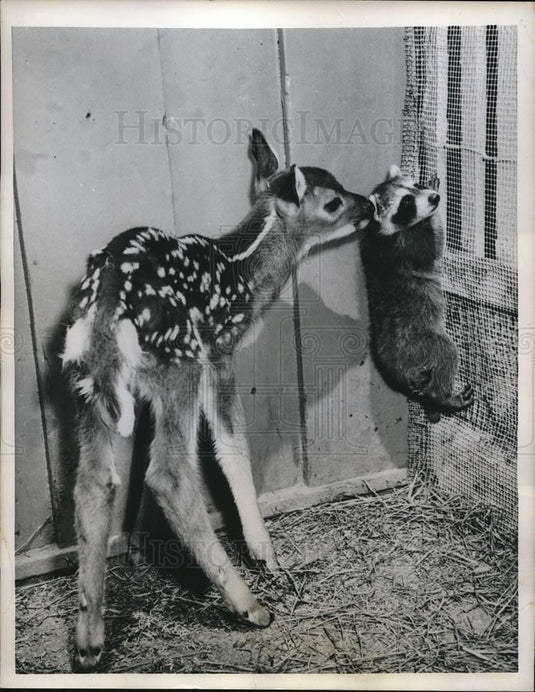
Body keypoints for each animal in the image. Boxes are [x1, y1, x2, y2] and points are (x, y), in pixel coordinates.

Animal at [61, 128, 373, 670]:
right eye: (333, 202)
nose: (370, 205)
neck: (242, 276)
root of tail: (106, 305)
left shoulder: (150, 392)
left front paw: (141, 547)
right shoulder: (220, 353)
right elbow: (232, 447)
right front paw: (264, 552)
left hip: (90, 383)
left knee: (94, 482)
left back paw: (89, 640)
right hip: (180, 360)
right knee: (168, 473)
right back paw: (250, 605)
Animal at [360, 165, 474, 423]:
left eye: (417, 185)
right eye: (406, 203)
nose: (434, 198)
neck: (383, 230)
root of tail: (398, 369)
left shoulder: (369, 244)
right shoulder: (410, 244)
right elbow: (436, 243)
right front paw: (433, 213)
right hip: (423, 345)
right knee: (446, 353)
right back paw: (442, 397)